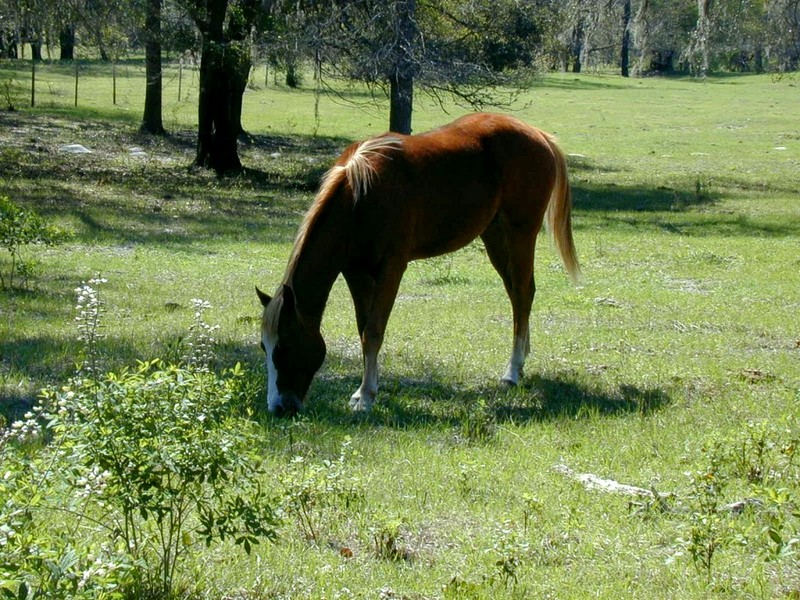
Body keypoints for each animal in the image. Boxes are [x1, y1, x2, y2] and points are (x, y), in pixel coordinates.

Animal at [260, 112, 580, 418]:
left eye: (284, 347)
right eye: (264, 347)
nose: (278, 408)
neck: (361, 195)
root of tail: (538, 135)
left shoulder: (391, 269)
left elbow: (373, 332)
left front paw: (366, 398)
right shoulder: (355, 272)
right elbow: (364, 329)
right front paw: (363, 391)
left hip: (519, 233)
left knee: (523, 293)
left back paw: (512, 371)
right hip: (495, 236)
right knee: (518, 294)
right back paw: (522, 359)